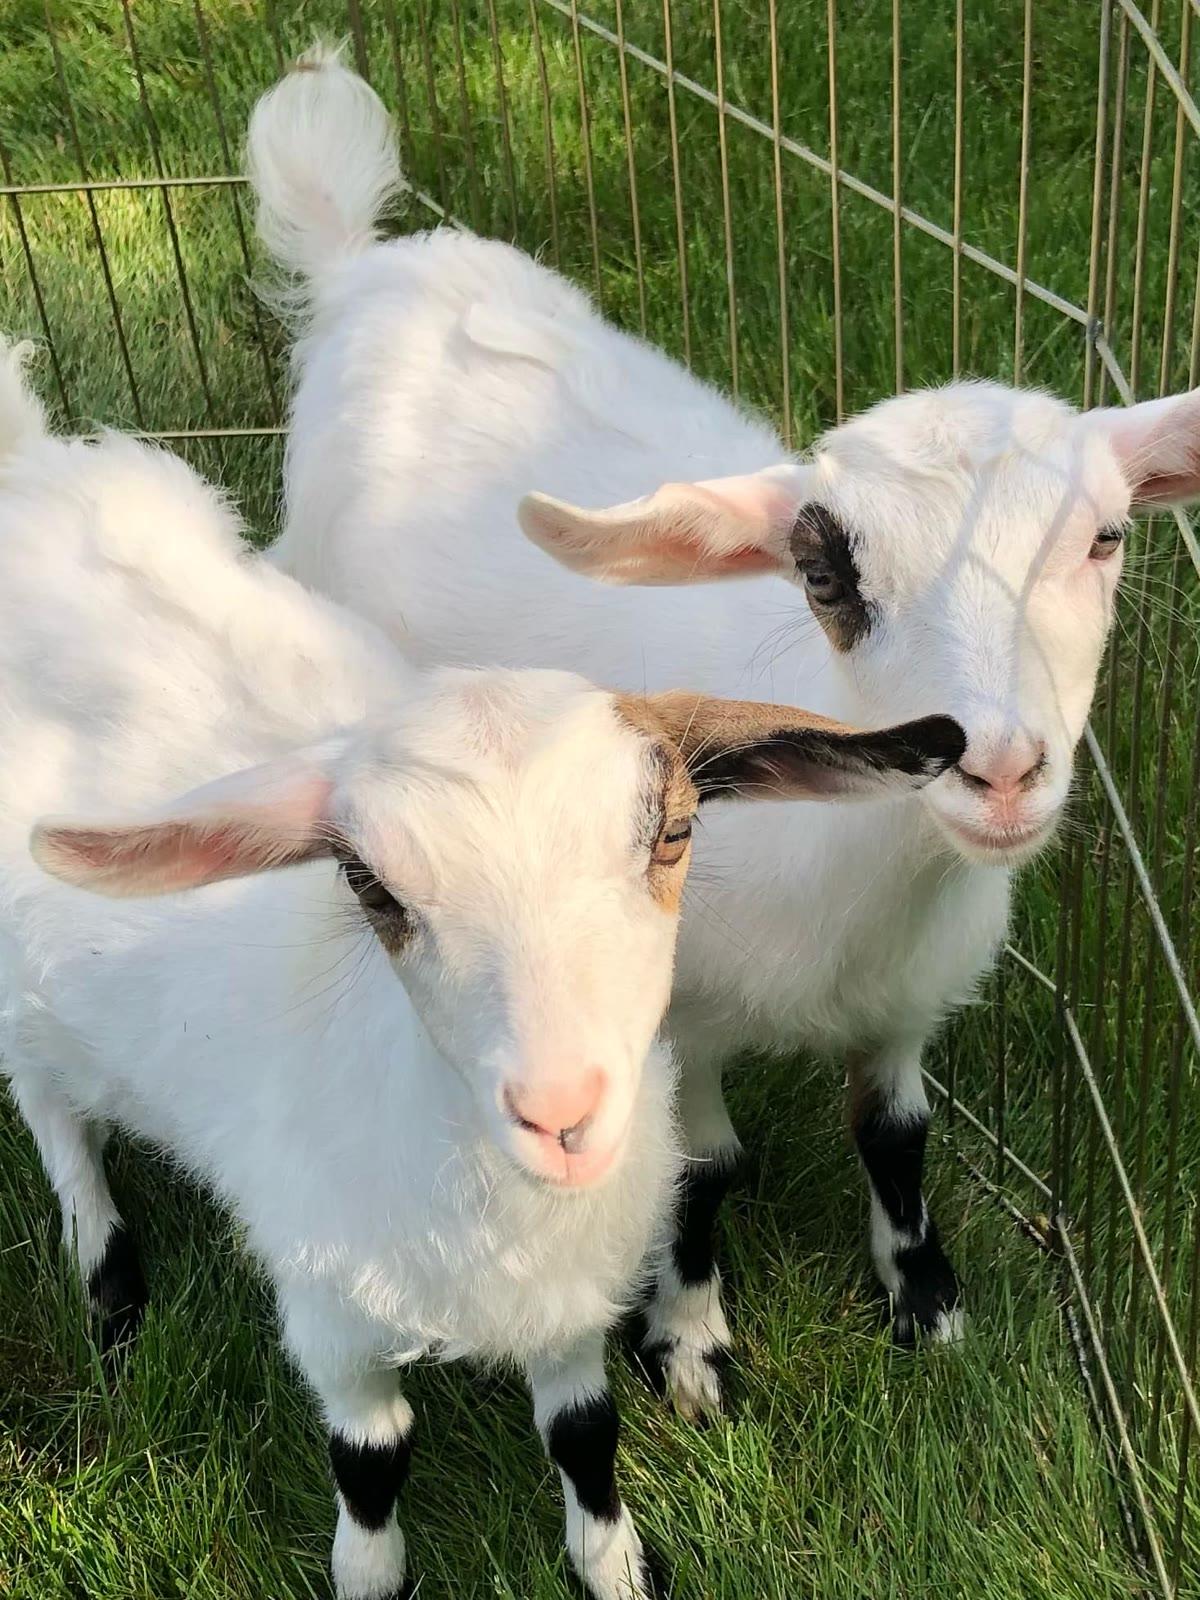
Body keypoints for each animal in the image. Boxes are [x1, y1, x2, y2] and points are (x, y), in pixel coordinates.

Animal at [0, 342, 961, 1599]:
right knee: (51, 1108)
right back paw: (108, 1283)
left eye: (673, 833)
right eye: (371, 886)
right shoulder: (329, 1316)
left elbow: (585, 1434)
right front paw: (369, 1575)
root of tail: (29, 468)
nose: (562, 1112)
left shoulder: (569, 1299)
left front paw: (615, 1565)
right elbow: (371, 1460)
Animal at [249, 52, 1200, 1417]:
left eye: (1108, 536)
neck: (864, 880)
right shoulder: (668, 1011)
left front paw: (927, 1307)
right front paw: (691, 1346)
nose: (1001, 766)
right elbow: (701, 1172)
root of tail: (358, 268)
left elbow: (896, 1137)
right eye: (824, 575)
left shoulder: (908, 996)